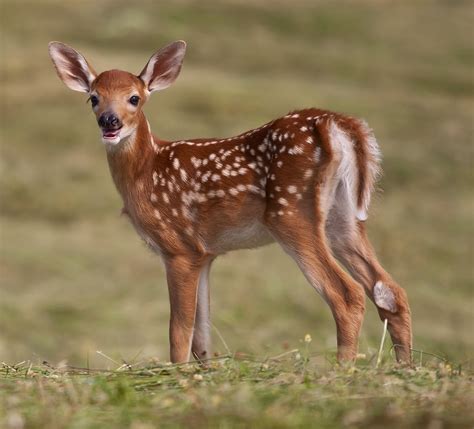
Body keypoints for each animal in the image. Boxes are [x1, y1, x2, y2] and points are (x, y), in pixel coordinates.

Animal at [49, 39, 412, 362]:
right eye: (93, 98)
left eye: (134, 98)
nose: (109, 121)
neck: (147, 170)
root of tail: (335, 124)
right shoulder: (206, 253)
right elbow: (202, 336)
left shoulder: (179, 247)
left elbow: (179, 331)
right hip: (344, 215)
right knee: (390, 290)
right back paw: (403, 367)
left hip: (292, 212)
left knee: (347, 294)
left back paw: (342, 370)